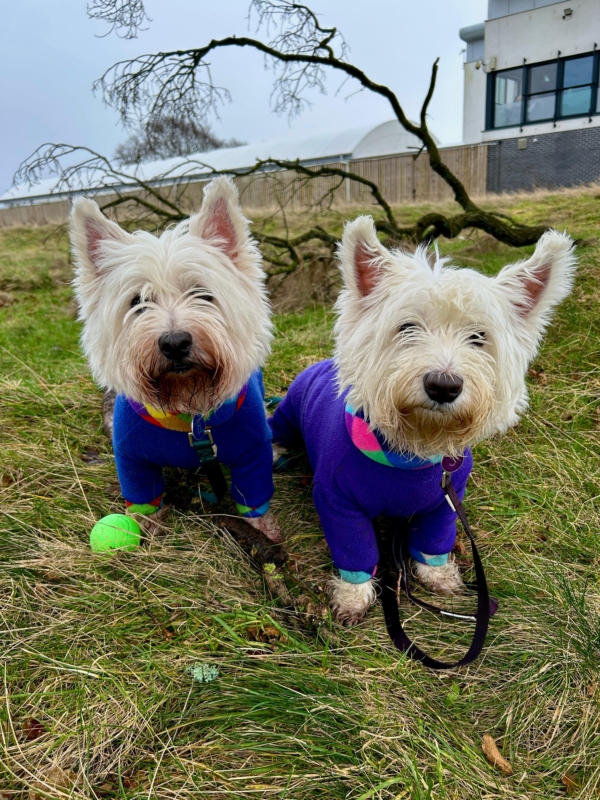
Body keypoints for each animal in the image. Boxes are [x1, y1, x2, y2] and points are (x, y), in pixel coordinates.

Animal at [72, 177, 282, 540]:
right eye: (137, 302)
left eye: (203, 294)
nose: (174, 343)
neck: (188, 411)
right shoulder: (132, 458)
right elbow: (141, 493)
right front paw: (143, 524)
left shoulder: (251, 451)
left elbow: (253, 491)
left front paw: (262, 528)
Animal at [270, 217, 576, 624]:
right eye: (407, 327)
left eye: (478, 337)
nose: (443, 385)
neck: (411, 450)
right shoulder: (338, 502)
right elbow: (356, 551)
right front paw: (353, 595)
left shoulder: (445, 503)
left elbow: (434, 541)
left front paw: (439, 575)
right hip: (288, 414)